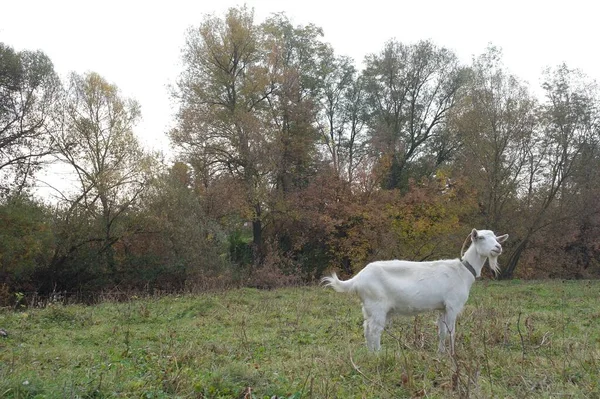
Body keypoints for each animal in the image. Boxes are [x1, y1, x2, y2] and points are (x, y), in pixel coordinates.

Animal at [324, 230, 506, 354]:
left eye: (496, 237)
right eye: (481, 237)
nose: (498, 247)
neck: (463, 271)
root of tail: (358, 278)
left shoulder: (442, 307)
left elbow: (442, 332)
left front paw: (441, 354)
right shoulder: (453, 305)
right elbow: (451, 332)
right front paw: (453, 355)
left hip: (368, 307)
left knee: (366, 328)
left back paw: (370, 353)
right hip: (377, 305)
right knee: (374, 330)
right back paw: (378, 355)